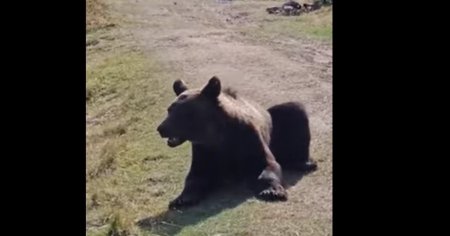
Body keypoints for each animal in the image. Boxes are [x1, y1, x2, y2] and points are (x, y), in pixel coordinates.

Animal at [157, 75, 316, 208]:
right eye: (169, 110)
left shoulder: (248, 139)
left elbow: (268, 165)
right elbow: (196, 177)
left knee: (294, 109)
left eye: (184, 113)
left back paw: (304, 162)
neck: (218, 135)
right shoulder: (204, 150)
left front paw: (271, 191)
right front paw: (181, 199)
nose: (161, 128)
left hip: (276, 126)